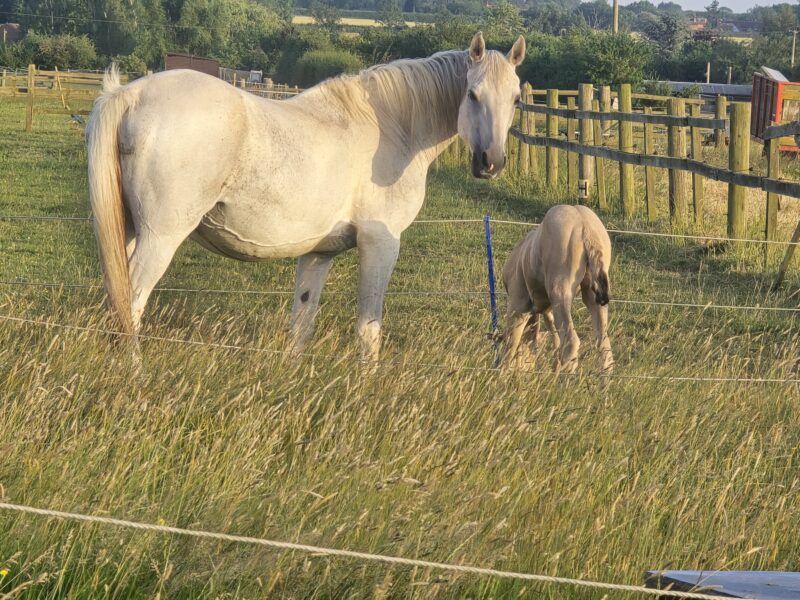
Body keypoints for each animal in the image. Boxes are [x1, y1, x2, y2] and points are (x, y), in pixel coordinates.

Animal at [87, 32, 526, 361]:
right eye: (472, 94)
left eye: (516, 98)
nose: (490, 162)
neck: (389, 128)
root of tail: (131, 95)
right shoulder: (381, 244)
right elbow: (368, 329)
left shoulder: (318, 254)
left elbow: (301, 323)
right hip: (159, 238)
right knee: (130, 307)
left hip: (128, 232)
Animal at [501, 205, 614, 374]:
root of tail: (586, 226)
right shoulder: (546, 311)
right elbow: (553, 339)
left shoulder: (517, 306)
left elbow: (511, 345)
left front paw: (500, 375)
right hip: (592, 295)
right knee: (603, 346)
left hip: (560, 291)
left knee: (571, 342)